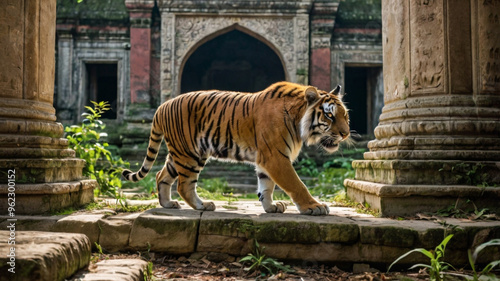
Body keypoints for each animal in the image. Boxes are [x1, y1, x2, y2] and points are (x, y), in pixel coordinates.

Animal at [122, 81, 350, 214]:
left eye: (345, 115)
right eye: (329, 115)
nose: (346, 133)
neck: (298, 119)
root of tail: (162, 106)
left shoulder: (266, 160)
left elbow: (266, 186)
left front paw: (271, 207)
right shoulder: (275, 156)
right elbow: (296, 184)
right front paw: (314, 206)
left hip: (181, 153)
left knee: (161, 175)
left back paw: (168, 204)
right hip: (190, 154)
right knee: (184, 185)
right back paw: (203, 205)